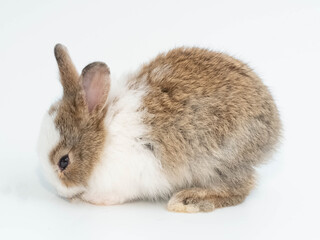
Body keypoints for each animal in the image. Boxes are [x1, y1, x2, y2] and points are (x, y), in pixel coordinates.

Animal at [37, 44, 282, 213]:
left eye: (64, 161)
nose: (59, 190)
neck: (102, 140)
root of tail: (273, 125)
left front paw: (88, 199)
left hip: (218, 161)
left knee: (240, 187)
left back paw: (187, 200)